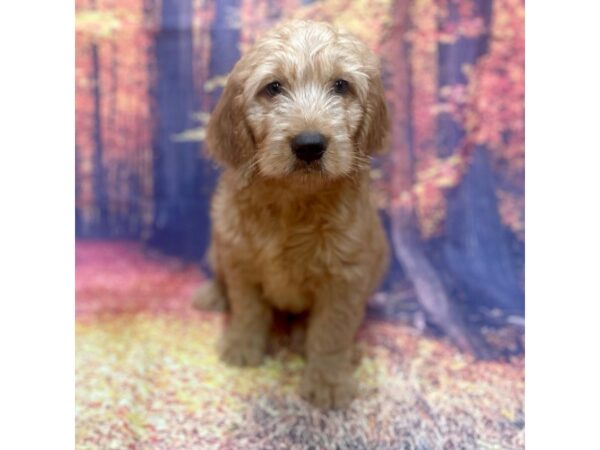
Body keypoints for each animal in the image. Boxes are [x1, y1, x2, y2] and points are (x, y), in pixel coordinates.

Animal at [196, 20, 390, 408]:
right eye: (273, 88)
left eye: (341, 85)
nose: (309, 145)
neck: (293, 200)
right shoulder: (240, 260)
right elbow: (248, 311)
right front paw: (242, 346)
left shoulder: (346, 278)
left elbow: (331, 331)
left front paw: (327, 380)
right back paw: (213, 295)